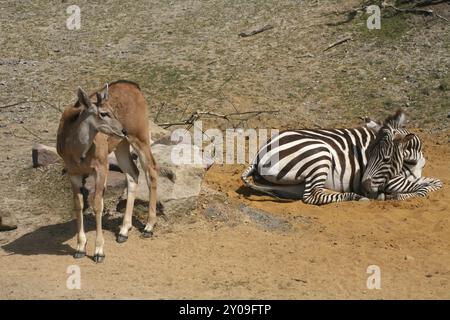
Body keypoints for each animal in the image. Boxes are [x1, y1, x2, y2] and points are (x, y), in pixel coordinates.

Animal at [241, 110, 442, 205]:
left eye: (386, 159)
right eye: (369, 156)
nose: (366, 188)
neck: (412, 161)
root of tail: (259, 154)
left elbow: (437, 182)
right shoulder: (391, 181)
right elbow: (423, 189)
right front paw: (395, 196)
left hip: (293, 184)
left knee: (315, 192)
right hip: (319, 154)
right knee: (311, 197)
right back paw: (356, 197)